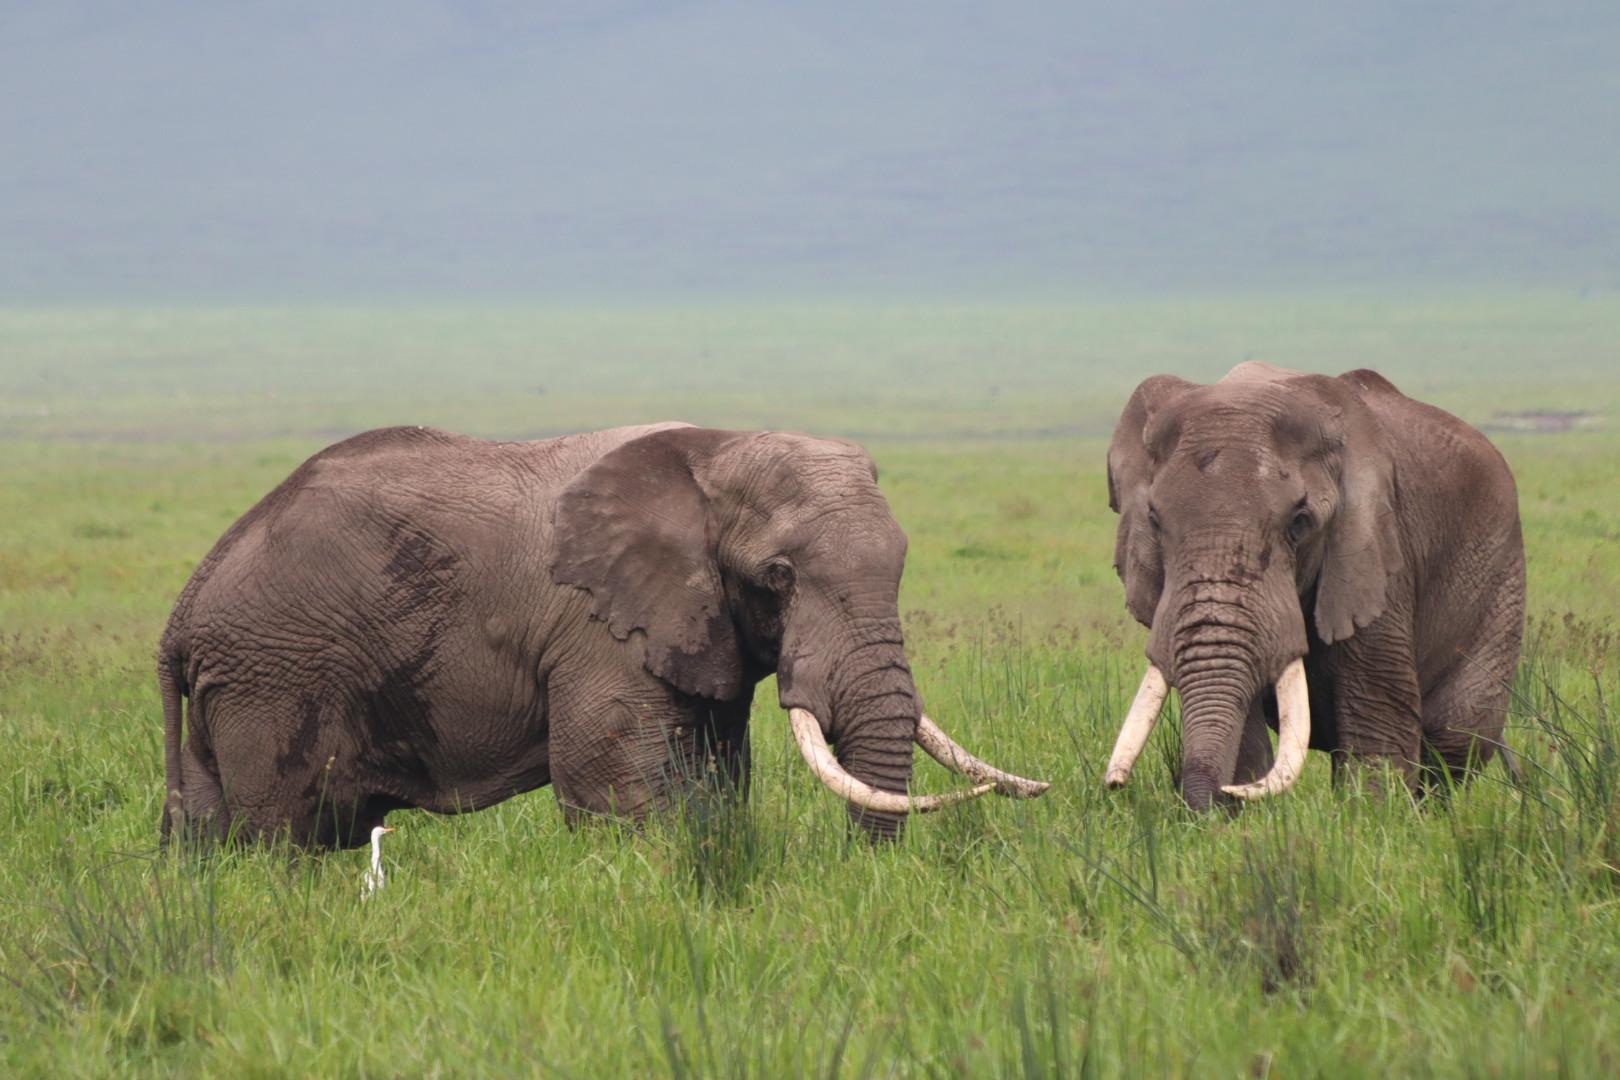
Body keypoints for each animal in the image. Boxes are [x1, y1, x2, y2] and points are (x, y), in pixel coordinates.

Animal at [158, 423, 1048, 848]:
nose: (865, 874)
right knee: (279, 833)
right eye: (779, 578)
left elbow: (716, 777)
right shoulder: (599, 630)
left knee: (212, 836)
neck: (717, 448)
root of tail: (187, 602)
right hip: (275, 677)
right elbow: (619, 788)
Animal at [1101, 363, 1525, 810]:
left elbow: (1376, 714)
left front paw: (1371, 816)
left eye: (1300, 521)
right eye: (1154, 519)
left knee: (1455, 736)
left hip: (1501, 574)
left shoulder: (1376, 554)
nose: (1115, 786)